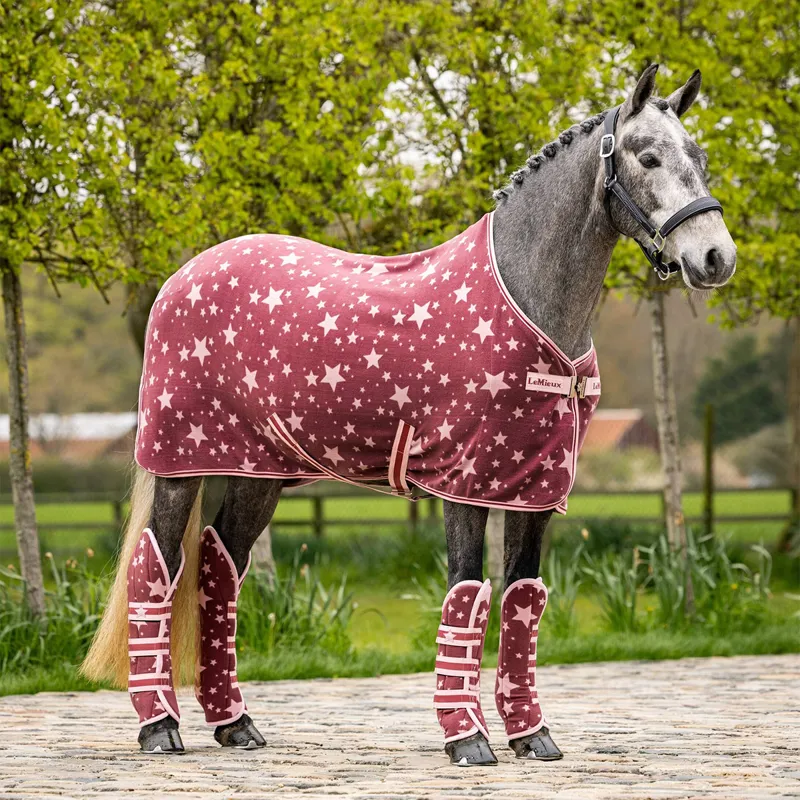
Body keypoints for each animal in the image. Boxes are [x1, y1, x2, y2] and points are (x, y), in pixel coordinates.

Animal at [82, 64, 736, 764]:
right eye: (648, 157)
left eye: (699, 157)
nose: (716, 258)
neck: (529, 299)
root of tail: (182, 279)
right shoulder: (464, 484)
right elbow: (466, 595)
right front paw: (467, 738)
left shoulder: (533, 488)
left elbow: (522, 600)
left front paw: (532, 735)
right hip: (181, 465)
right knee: (155, 570)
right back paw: (160, 727)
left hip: (257, 475)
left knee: (219, 570)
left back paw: (236, 724)